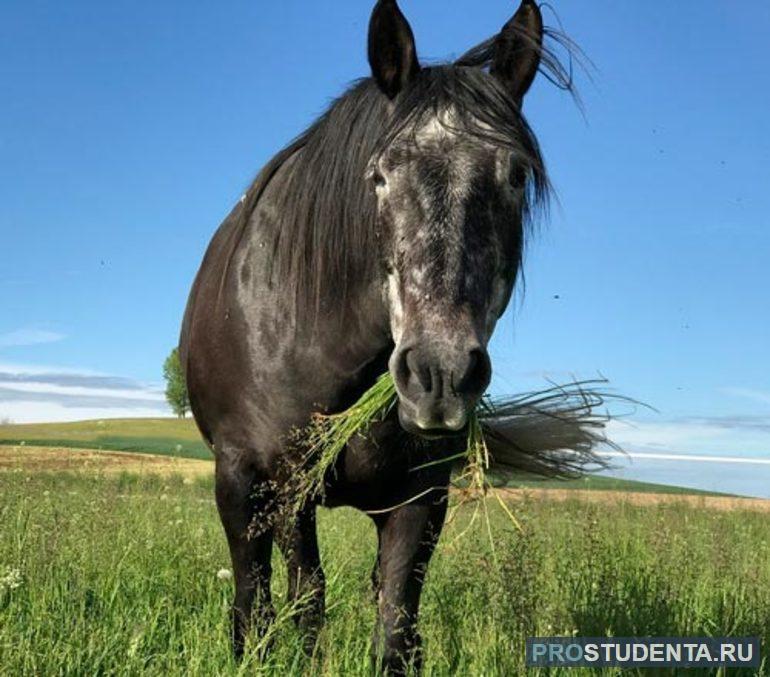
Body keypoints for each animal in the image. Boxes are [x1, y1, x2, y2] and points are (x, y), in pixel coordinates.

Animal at [182, 0, 568, 672]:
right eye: (381, 176)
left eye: (516, 176)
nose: (439, 376)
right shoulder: (291, 482)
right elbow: (307, 603)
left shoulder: (421, 498)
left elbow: (395, 622)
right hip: (240, 483)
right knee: (253, 591)